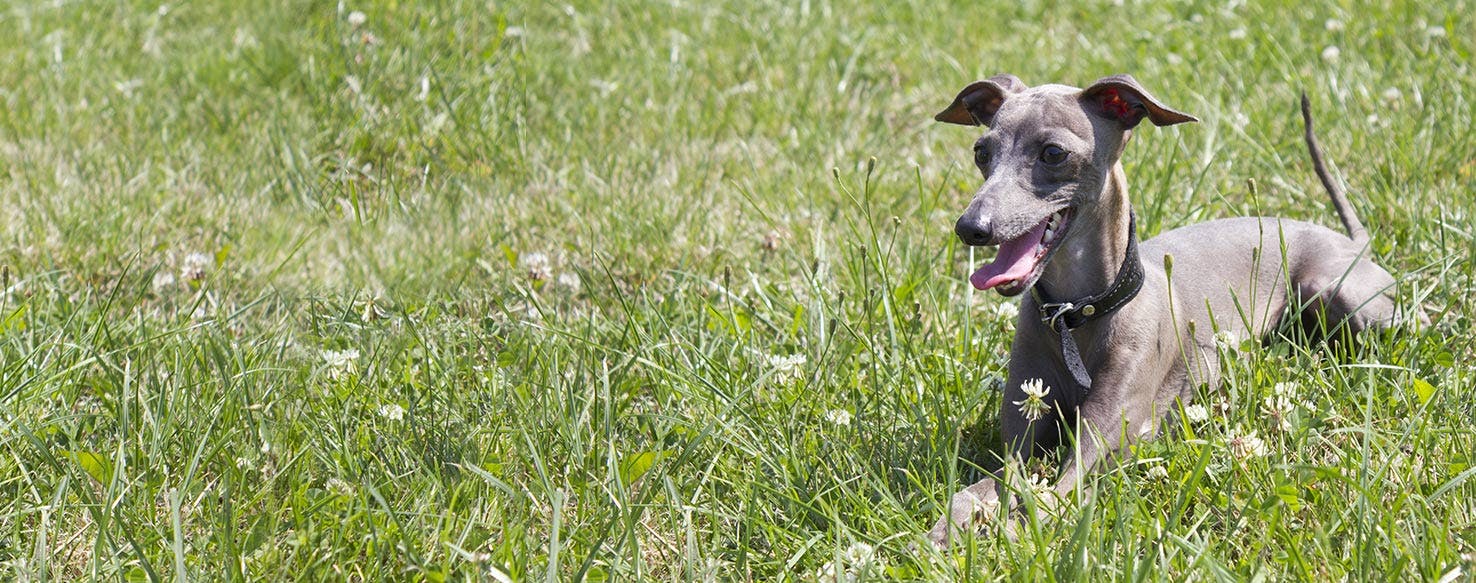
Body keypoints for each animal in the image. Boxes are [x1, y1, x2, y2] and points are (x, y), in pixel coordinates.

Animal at [926, 74, 1411, 549]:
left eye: (1053, 153)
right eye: (981, 152)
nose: (970, 228)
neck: (1075, 315)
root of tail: (1351, 241)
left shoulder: (1105, 436)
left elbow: (1055, 497)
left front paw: (1012, 533)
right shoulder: (1024, 429)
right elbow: (986, 484)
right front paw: (948, 528)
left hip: (1337, 292)